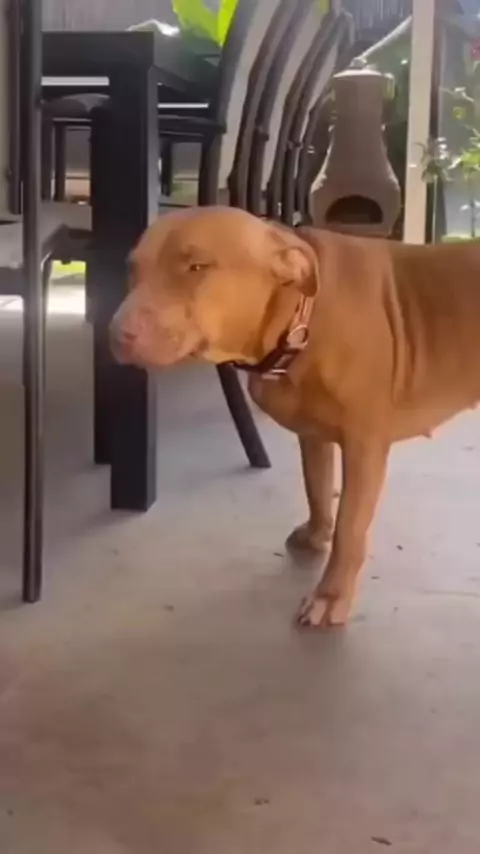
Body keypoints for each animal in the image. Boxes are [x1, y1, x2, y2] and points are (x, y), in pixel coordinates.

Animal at [110, 206, 480, 629]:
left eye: (197, 266)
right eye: (132, 267)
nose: (117, 333)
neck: (300, 320)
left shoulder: (364, 449)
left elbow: (350, 527)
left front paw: (330, 595)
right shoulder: (313, 435)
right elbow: (316, 487)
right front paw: (317, 534)